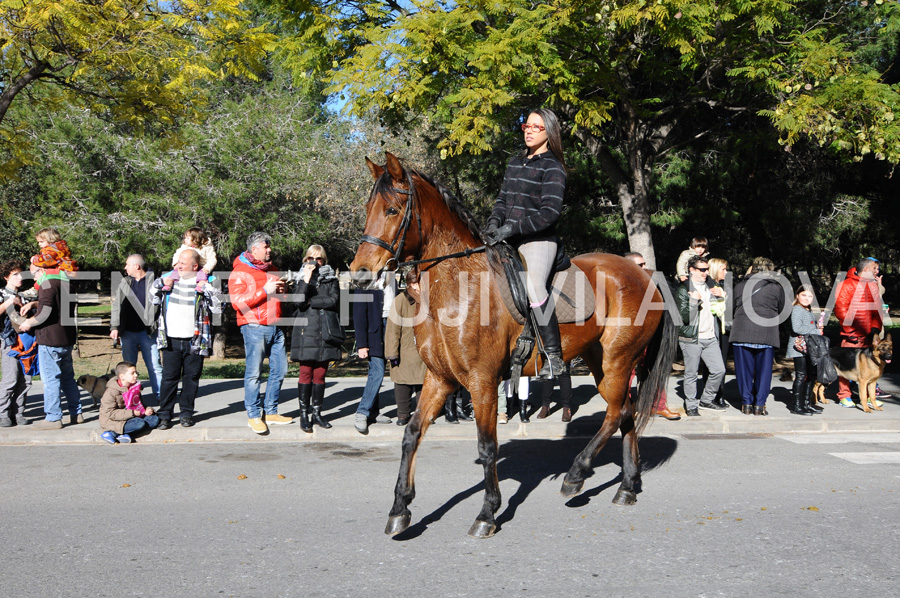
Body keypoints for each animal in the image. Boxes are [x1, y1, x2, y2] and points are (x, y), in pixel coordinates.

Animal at [352, 154, 676, 540]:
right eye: (367, 208)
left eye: (392, 210)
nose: (359, 273)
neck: (458, 287)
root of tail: (645, 274)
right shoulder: (440, 378)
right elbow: (411, 434)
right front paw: (400, 508)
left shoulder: (482, 381)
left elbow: (487, 445)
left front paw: (487, 513)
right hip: (602, 361)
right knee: (625, 412)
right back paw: (626, 487)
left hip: (617, 360)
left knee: (616, 413)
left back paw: (576, 475)